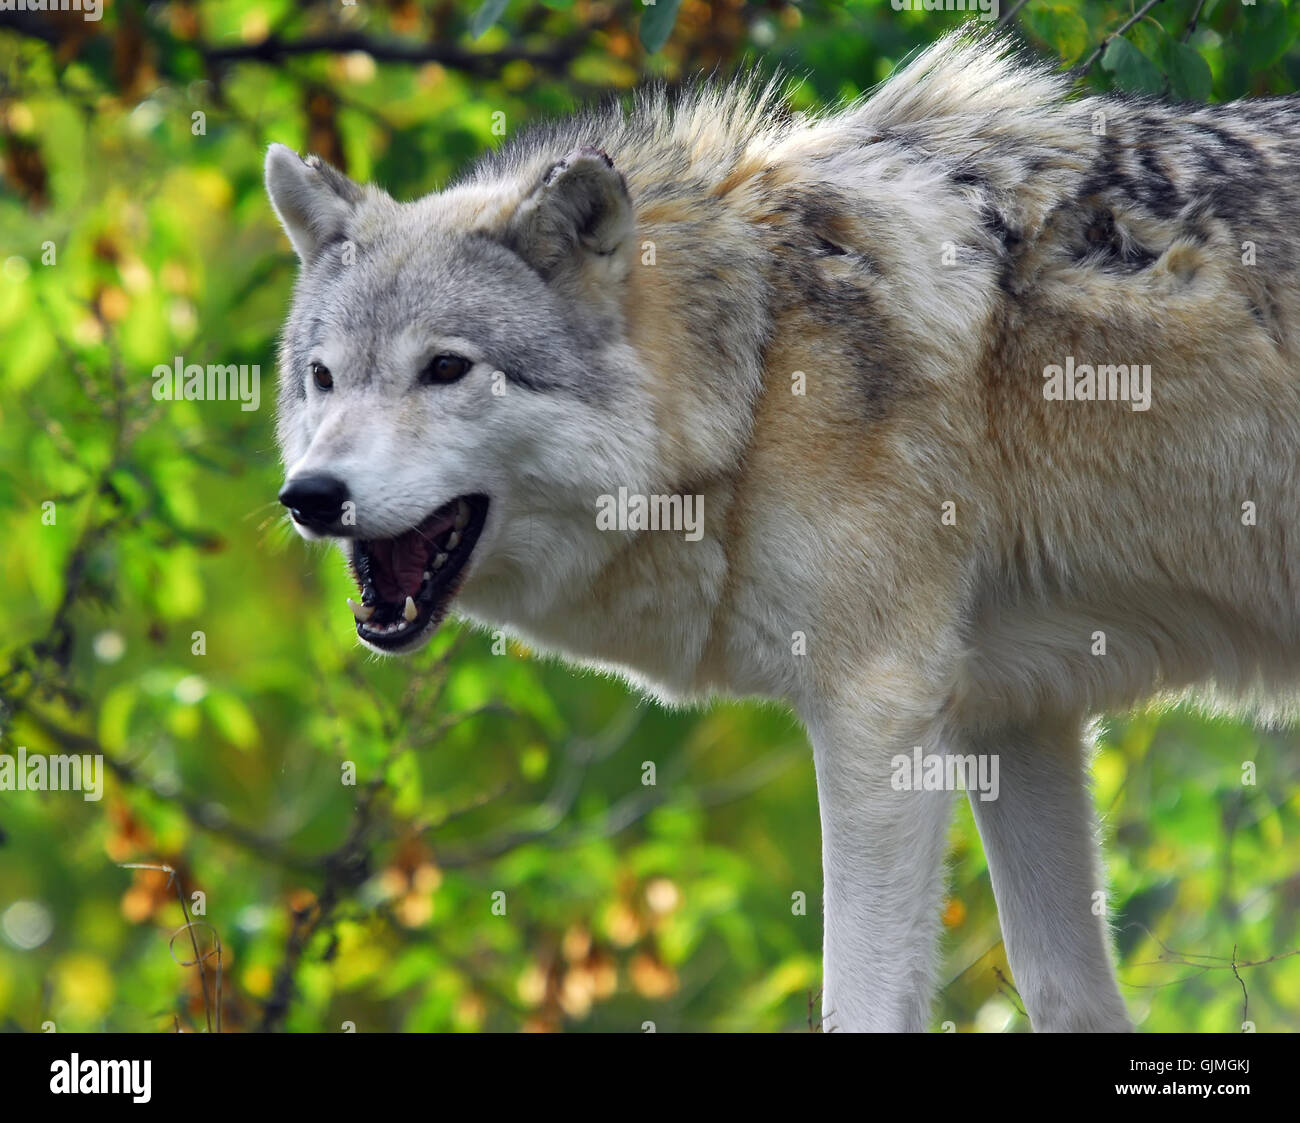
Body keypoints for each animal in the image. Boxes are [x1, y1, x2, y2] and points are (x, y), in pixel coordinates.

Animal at [265, 30, 1300, 1032]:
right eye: (323, 377)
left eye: (446, 368)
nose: (310, 494)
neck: (760, 367)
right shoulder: (1014, 713)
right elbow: (1069, 994)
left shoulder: (878, 709)